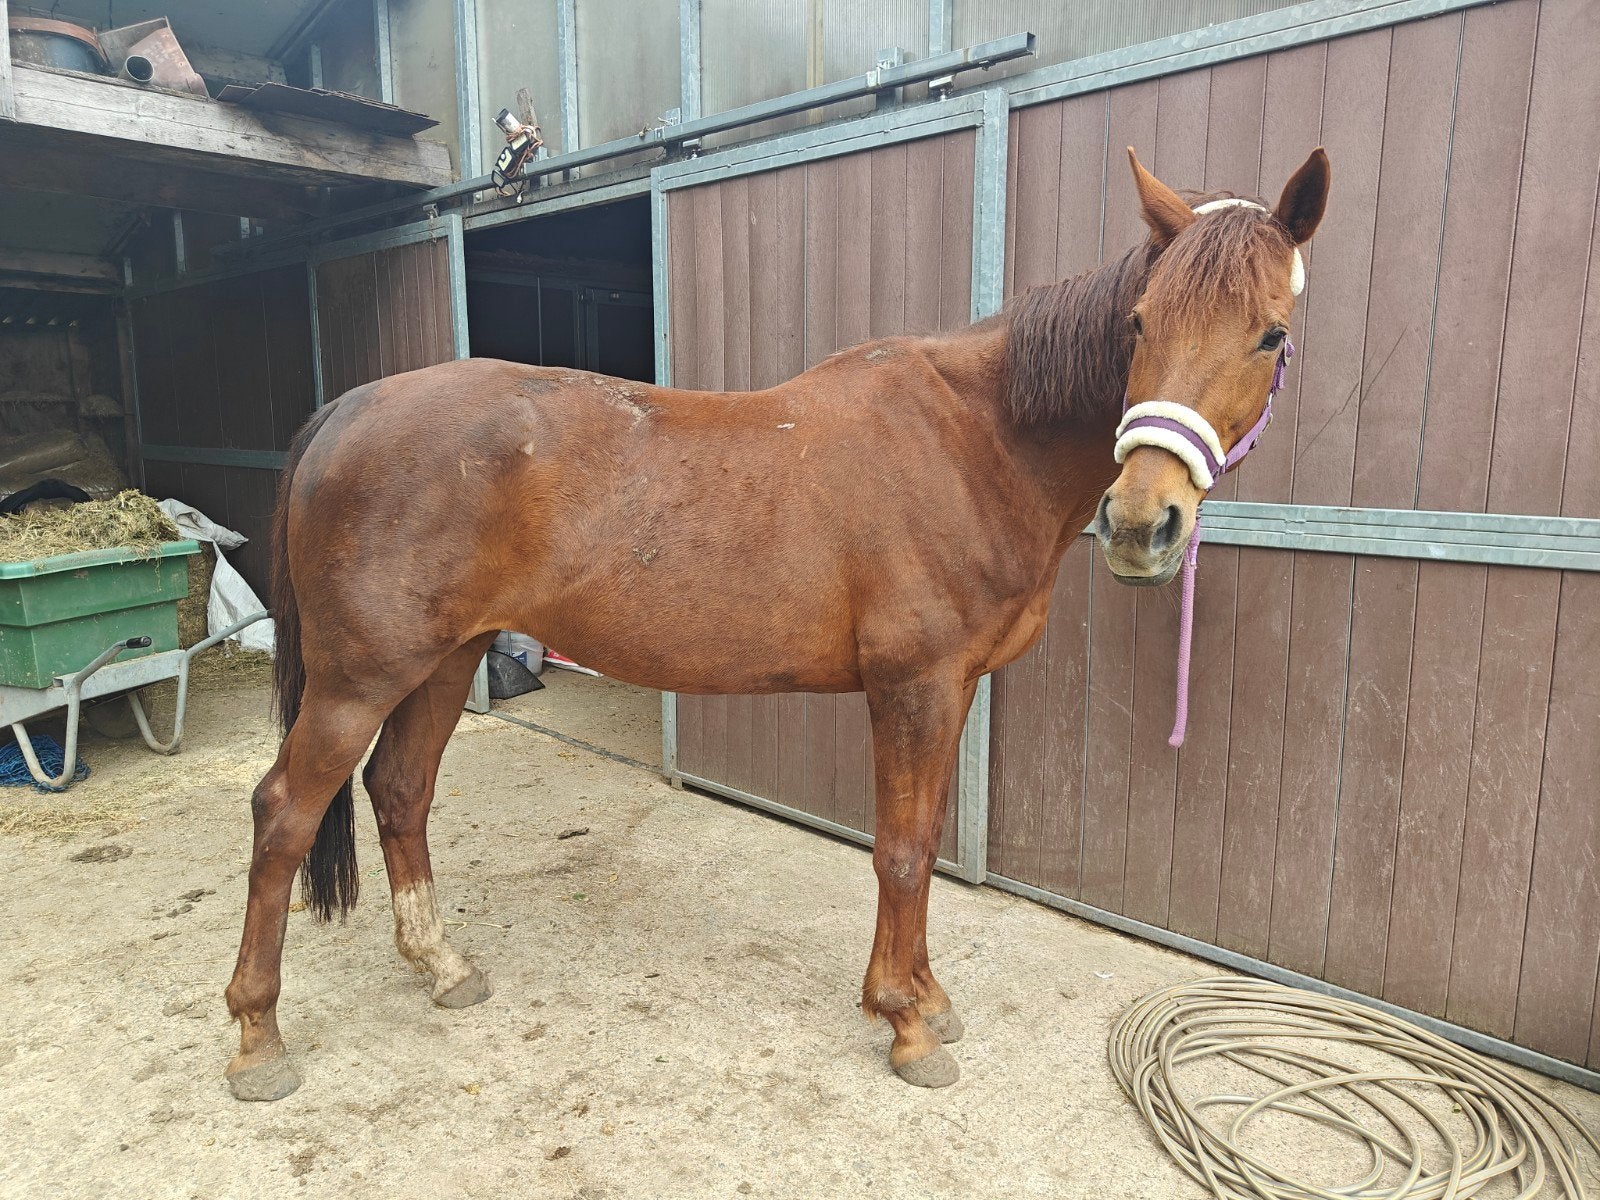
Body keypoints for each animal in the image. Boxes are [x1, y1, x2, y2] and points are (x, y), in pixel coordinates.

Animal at [222, 145, 1330, 1100]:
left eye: (1269, 334)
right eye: (1138, 324)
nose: (1143, 525)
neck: (973, 442)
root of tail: (349, 410)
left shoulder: (954, 687)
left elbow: (925, 834)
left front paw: (926, 998)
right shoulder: (913, 687)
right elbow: (900, 851)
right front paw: (907, 1025)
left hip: (443, 660)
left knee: (400, 792)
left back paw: (443, 966)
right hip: (360, 678)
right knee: (283, 813)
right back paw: (257, 1038)